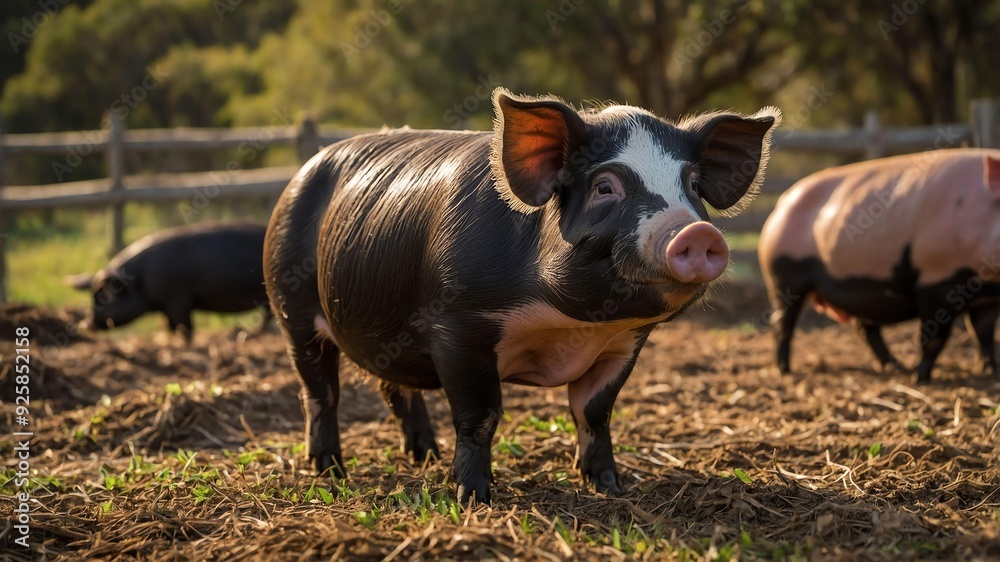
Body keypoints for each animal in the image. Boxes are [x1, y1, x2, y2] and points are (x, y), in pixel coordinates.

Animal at [69, 222, 271, 340]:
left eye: (104, 295)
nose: (84, 324)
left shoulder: (178, 299)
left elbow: (185, 326)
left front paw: (185, 341)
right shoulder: (165, 307)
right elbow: (170, 326)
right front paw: (171, 338)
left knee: (268, 314)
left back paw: (256, 333)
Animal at [264, 88, 780, 503]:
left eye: (691, 185)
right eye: (605, 186)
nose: (695, 232)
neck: (569, 325)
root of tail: (303, 170)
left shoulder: (624, 343)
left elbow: (594, 412)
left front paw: (610, 488)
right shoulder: (458, 326)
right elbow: (481, 416)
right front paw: (473, 498)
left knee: (394, 387)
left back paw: (425, 457)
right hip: (290, 308)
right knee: (320, 392)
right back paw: (331, 472)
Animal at [759, 149, 1000, 384]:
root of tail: (781, 204)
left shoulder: (987, 299)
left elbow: (984, 334)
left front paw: (989, 372)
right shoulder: (935, 281)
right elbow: (934, 337)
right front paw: (919, 379)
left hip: (859, 294)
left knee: (865, 328)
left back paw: (894, 367)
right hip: (783, 274)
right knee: (781, 322)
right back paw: (785, 370)